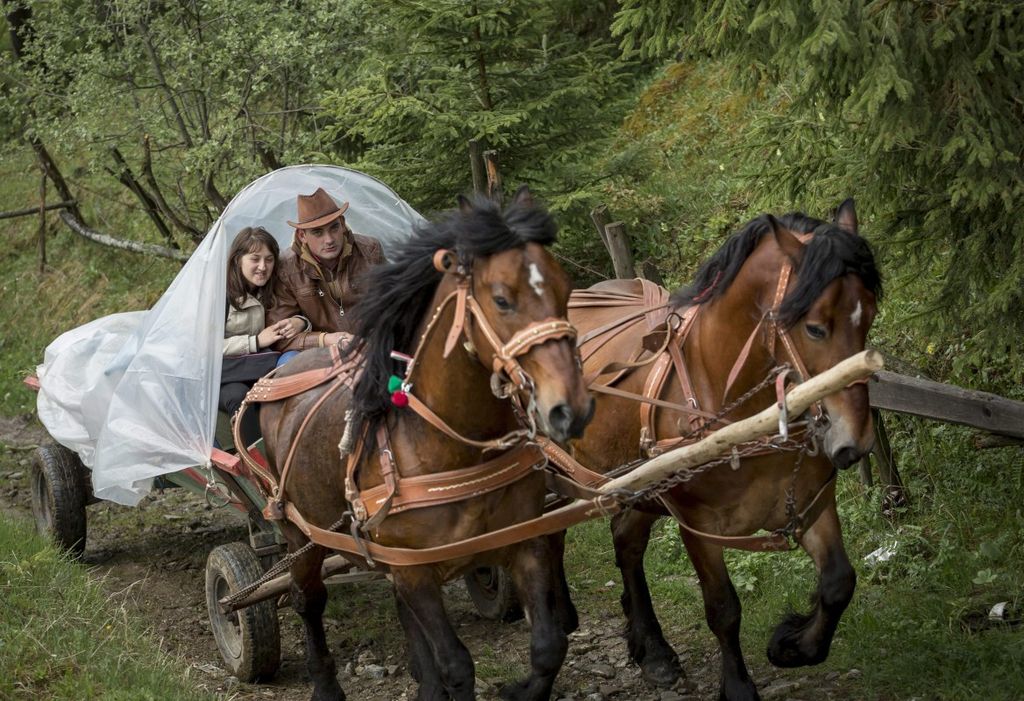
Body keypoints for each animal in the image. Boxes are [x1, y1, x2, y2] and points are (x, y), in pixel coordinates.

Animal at [258, 187, 593, 699]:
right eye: (502, 299)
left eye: (566, 288)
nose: (570, 409)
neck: (449, 446)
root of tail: (281, 374)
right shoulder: (416, 570)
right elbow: (458, 664)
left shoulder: (523, 542)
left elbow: (548, 648)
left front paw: (517, 689)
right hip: (301, 534)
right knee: (307, 600)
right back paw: (326, 684)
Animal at [569, 199, 880, 699]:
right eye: (815, 328)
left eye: (868, 316)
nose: (856, 441)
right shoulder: (697, 526)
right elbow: (723, 608)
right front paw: (737, 685)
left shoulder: (812, 503)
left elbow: (838, 582)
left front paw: (791, 644)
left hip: (634, 485)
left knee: (626, 544)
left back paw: (652, 650)